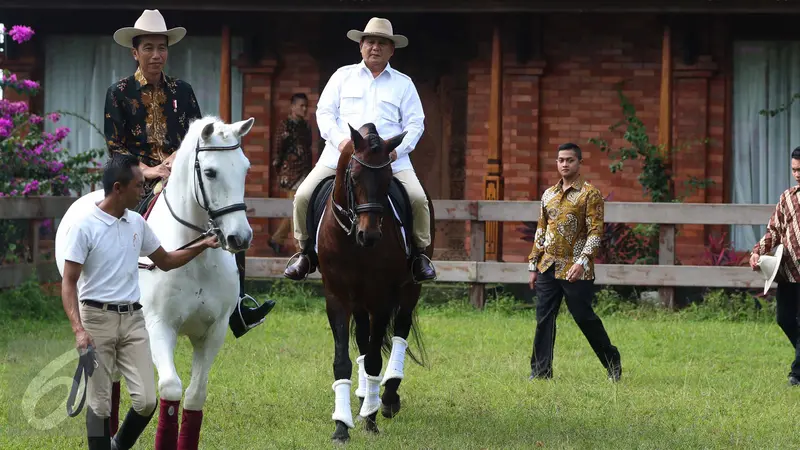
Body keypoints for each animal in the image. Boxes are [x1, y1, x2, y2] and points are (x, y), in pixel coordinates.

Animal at [55, 116, 255, 450]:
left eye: (245, 168)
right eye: (210, 172)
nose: (239, 238)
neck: (195, 259)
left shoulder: (214, 331)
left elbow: (195, 396)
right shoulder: (159, 326)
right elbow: (171, 389)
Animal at [316, 122, 434, 442]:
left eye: (387, 179)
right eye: (354, 176)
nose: (369, 235)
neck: (352, 242)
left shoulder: (382, 298)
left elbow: (373, 360)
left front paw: (370, 419)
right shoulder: (337, 297)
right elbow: (343, 360)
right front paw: (341, 425)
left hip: (409, 288)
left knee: (400, 332)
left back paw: (388, 397)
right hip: (359, 300)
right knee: (363, 338)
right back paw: (361, 399)